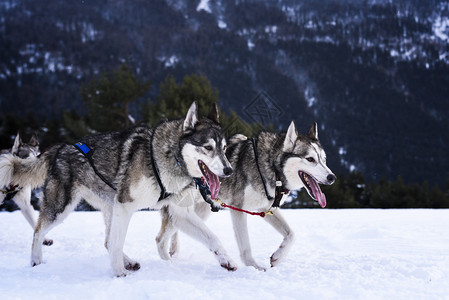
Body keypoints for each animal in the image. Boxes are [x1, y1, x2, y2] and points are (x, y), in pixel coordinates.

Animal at [156, 120, 334, 270]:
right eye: (310, 159)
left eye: (324, 159)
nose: (332, 177)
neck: (271, 167)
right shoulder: (238, 209)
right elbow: (246, 246)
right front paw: (254, 267)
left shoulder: (265, 209)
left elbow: (292, 235)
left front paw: (278, 256)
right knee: (160, 238)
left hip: (200, 211)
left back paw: (174, 249)